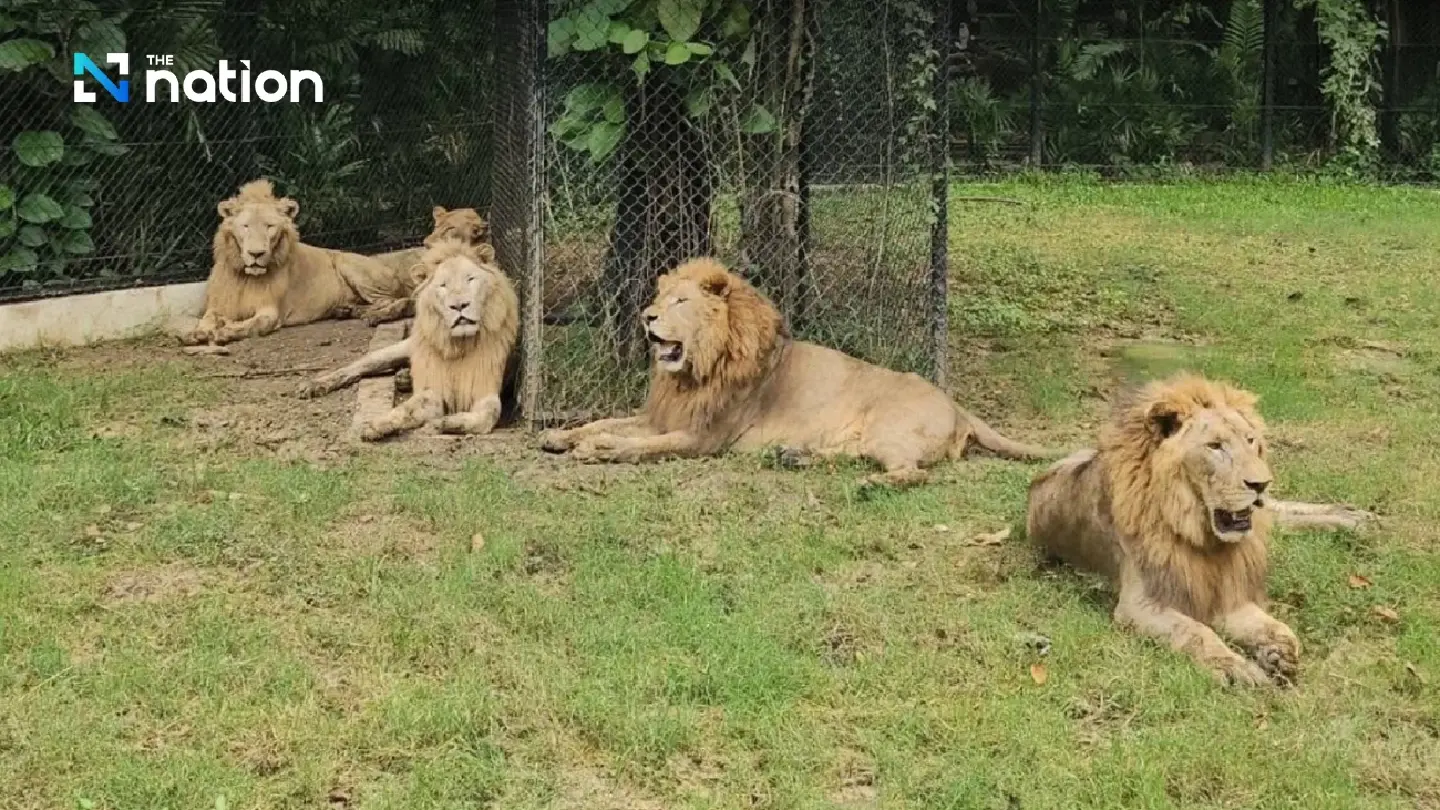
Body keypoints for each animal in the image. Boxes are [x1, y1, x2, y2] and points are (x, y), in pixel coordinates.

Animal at [180, 179, 413, 346]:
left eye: (269, 227)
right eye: (245, 226)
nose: (256, 253)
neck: (246, 276)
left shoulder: (271, 311)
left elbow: (254, 324)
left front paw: (227, 331)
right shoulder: (220, 304)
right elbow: (207, 319)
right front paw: (196, 333)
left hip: (351, 266)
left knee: (393, 300)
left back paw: (371, 314)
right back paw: (346, 310)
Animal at [299, 240, 519, 441]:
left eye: (470, 279)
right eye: (443, 286)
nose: (459, 305)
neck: (459, 345)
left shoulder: (485, 386)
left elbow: (487, 416)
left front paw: (441, 424)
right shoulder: (435, 387)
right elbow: (407, 408)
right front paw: (376, 425)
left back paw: (403, 377)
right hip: (396, 350)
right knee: (359, 365)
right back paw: (316, 384)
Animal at [540, 257, 1057, 485]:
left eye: (680, 302)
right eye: (659, 298)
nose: (645, 316)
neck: (694, 372)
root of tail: (957, 405)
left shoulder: (702, 437)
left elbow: (639, 445)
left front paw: (599, 449)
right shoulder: (662, 414)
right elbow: (607, 420)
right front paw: (563, 436)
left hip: (892, 429)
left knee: (912, 473)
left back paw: (871, 484)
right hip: (870, 439)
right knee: (856, 456)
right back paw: (796, 457)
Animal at [1025, 373, 1375, 687]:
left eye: (1250, 441)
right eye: (1215, 446)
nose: (1261, 483)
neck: (1201, 534)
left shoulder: (1229, 593)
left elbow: (1272, 626)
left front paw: (1279, 651)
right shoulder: (1140, 603)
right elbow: (1196, 633)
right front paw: (1237, 668)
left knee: (1279, 510)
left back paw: (1355, 518)